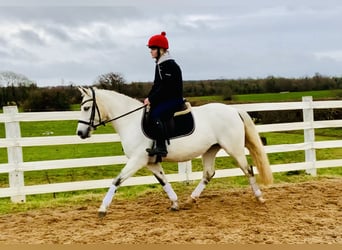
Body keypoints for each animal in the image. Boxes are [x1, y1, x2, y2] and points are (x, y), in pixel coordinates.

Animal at [77, 87, 272, 217]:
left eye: (86, 108)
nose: (80, 133)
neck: (131, 121)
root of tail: (233, 110)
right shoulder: (151, 162)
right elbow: (163, 181)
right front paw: (175, 203)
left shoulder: (137, 160)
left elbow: (117, 180)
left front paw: (102, 209)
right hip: (210, 149)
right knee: (208, 173)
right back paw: (191, 199)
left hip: (234, 148)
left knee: (248, 170)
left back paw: (260, 198)